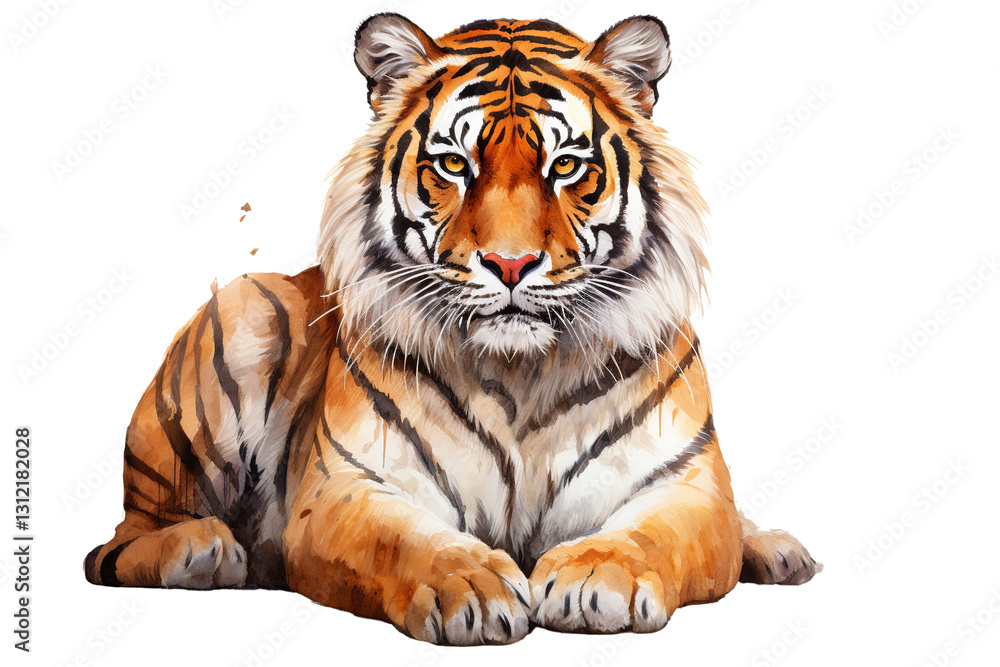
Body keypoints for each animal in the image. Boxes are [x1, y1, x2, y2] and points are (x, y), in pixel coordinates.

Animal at [84, 14, 821, 644]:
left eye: (565, 166)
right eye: (454, 165)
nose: (511, 263)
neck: (522, 372)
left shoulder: (685, 487)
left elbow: (654, 535)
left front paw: (595, 575)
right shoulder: (348, 488)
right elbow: (405, 541)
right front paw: (470, 586)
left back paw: (779, 549)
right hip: (241, 313)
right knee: (121, 538)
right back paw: (202, 550)